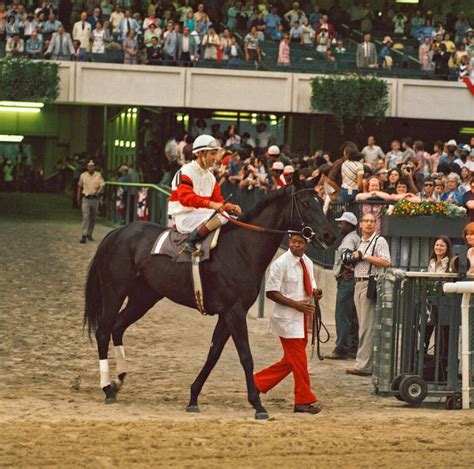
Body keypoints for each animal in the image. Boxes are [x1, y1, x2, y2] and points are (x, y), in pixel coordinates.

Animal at [83, 174, 336, 418]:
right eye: (305, 202)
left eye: (320, 201)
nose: (329, 235)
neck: (242, 248)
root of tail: (117, 233)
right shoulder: (235, 312)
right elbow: (246, 356)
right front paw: (257, 404)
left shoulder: (228, 314)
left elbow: (213, 353)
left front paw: (193, 397)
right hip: (115, 291)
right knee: (103, 331)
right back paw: (107, 389)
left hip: (144, 297)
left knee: (118, 327)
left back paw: (118, 379)